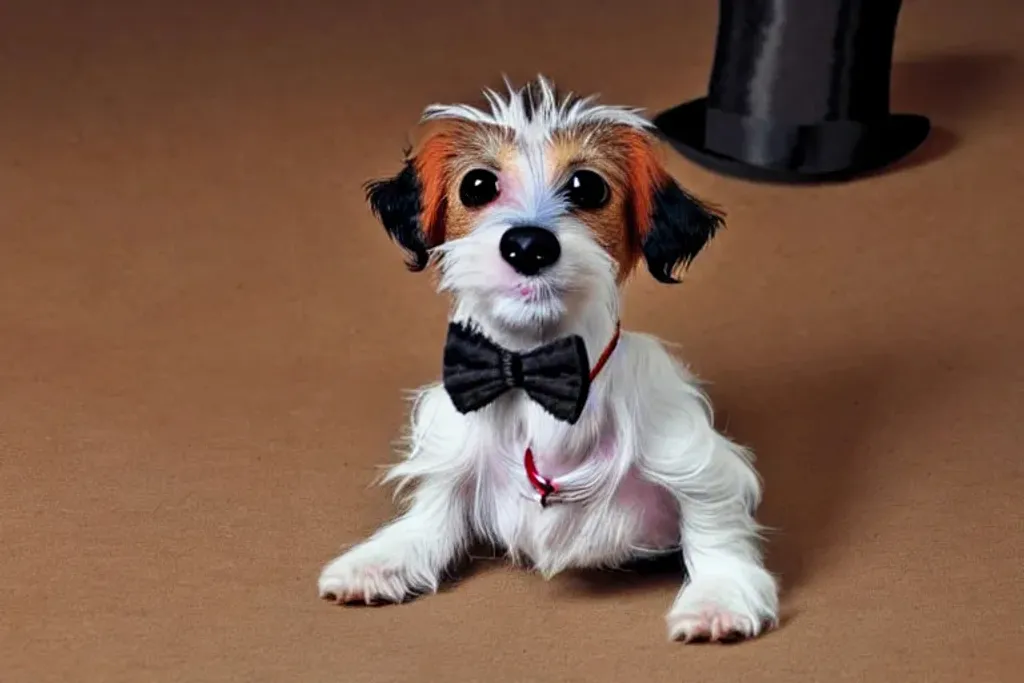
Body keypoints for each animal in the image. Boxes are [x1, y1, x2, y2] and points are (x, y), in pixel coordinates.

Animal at [315, 77, 778, 643]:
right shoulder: (452, 458)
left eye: (588, 187)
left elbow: (714, 527)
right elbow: (430, 520)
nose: (528, 244)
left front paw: (719, 594)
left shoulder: (696, 462)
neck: (533, 371)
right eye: (477, 185)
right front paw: (382, 559)